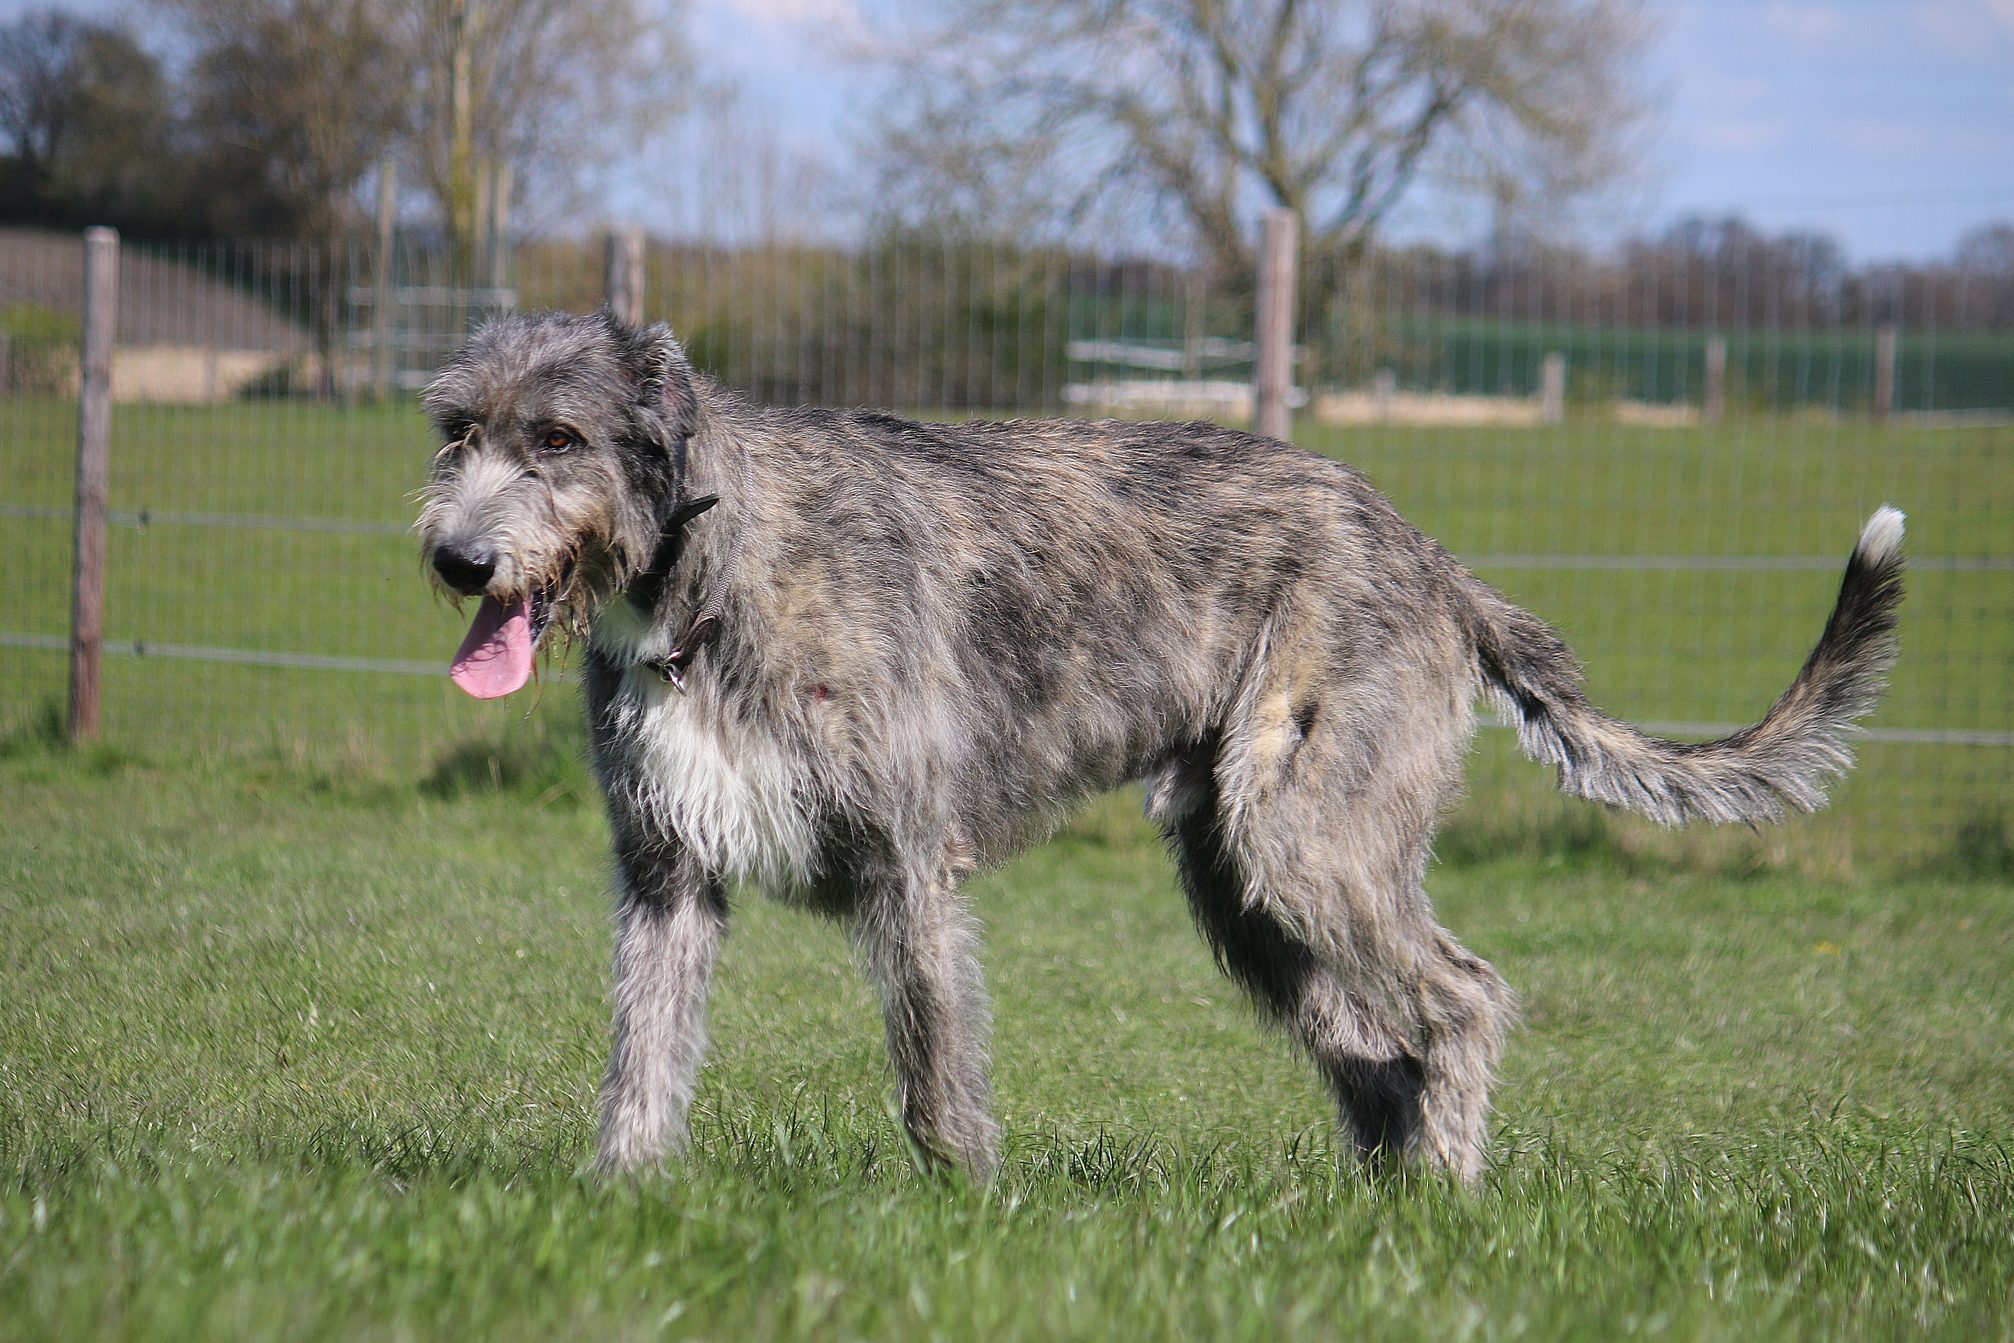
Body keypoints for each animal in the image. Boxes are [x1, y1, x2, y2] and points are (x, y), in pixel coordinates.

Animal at [420, 310, 1901, 1183]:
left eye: (558, 435)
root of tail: (1433, 558)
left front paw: (960, 1214)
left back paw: (1446, 1198)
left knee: (1461, 998)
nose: (455, 560)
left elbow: (932, 1069)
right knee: (1375, 1053)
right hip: (1244, 886)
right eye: (457, 429)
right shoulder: (665, 872)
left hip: (1309, 839)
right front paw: (621, 1199)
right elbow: (640, 1053)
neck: (704, 570)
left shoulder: (908, 865)